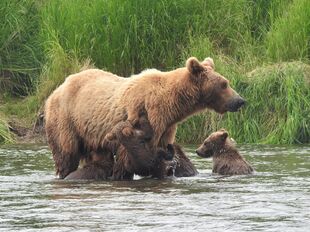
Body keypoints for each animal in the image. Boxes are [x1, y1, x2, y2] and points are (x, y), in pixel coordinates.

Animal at [45, 57, 245, 179]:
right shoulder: (147, 117)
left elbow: (160, 152)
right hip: (66, 120)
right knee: (66, 154)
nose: (240, 100)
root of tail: (56, 89)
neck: (172, 105)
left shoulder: (166, 127)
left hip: (92, 132)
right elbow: (133, 157)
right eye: (224, 84)